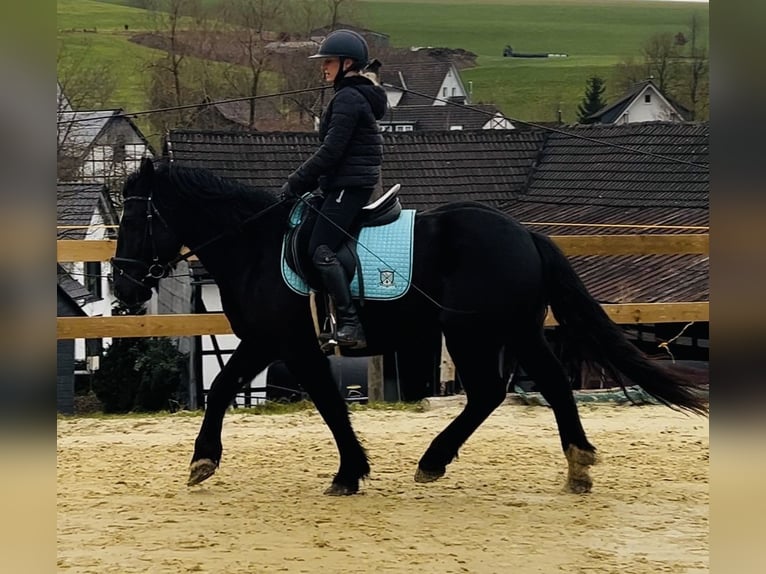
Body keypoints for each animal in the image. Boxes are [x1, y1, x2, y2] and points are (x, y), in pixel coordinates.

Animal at [112, 160, 708, 498]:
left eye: (135, 218)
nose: (123, 288)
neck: (254, 246)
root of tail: (525, 234)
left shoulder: (291, 342)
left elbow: (324, 401)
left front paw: (348, 473)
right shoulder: (266, 341)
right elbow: (223, 388)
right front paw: (204, 461)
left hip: (474, 334)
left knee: (492, 391)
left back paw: (436, 461)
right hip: (515, 332)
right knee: (547, 386)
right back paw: (575, 467)